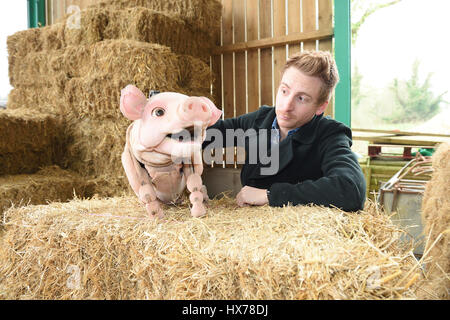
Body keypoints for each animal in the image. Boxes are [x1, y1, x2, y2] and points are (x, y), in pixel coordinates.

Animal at [119, 84, 221, 219]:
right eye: (158, 112)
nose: (196, 101)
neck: (164, 164)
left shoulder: (190, 161)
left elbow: (194, 185)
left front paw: (199, 214)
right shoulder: (132, 163)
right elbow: (146, 192)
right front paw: (158, 217)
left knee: (201, 188)